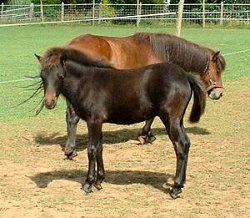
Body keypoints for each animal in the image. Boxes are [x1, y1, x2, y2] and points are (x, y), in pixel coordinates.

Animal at [36, 46, 206, 199]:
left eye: (60, 76)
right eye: (42, 76)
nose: (49, 102)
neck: (87, 82)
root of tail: (185, 75)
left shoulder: (93, 121)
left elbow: (91, 149)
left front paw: (88, 184)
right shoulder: (99, 122)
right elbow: (99, 148)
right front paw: (99, 181)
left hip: (170, 119)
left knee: (180, 145)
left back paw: (176, 188)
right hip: (179, 120)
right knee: (187, 143)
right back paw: (181, 184)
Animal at [63, 31, 227, 158]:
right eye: (217, 70)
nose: (219, 93)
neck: (160, 51)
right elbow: (151, 117)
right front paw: (145, 135)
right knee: (73, 118)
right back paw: (71, 150)